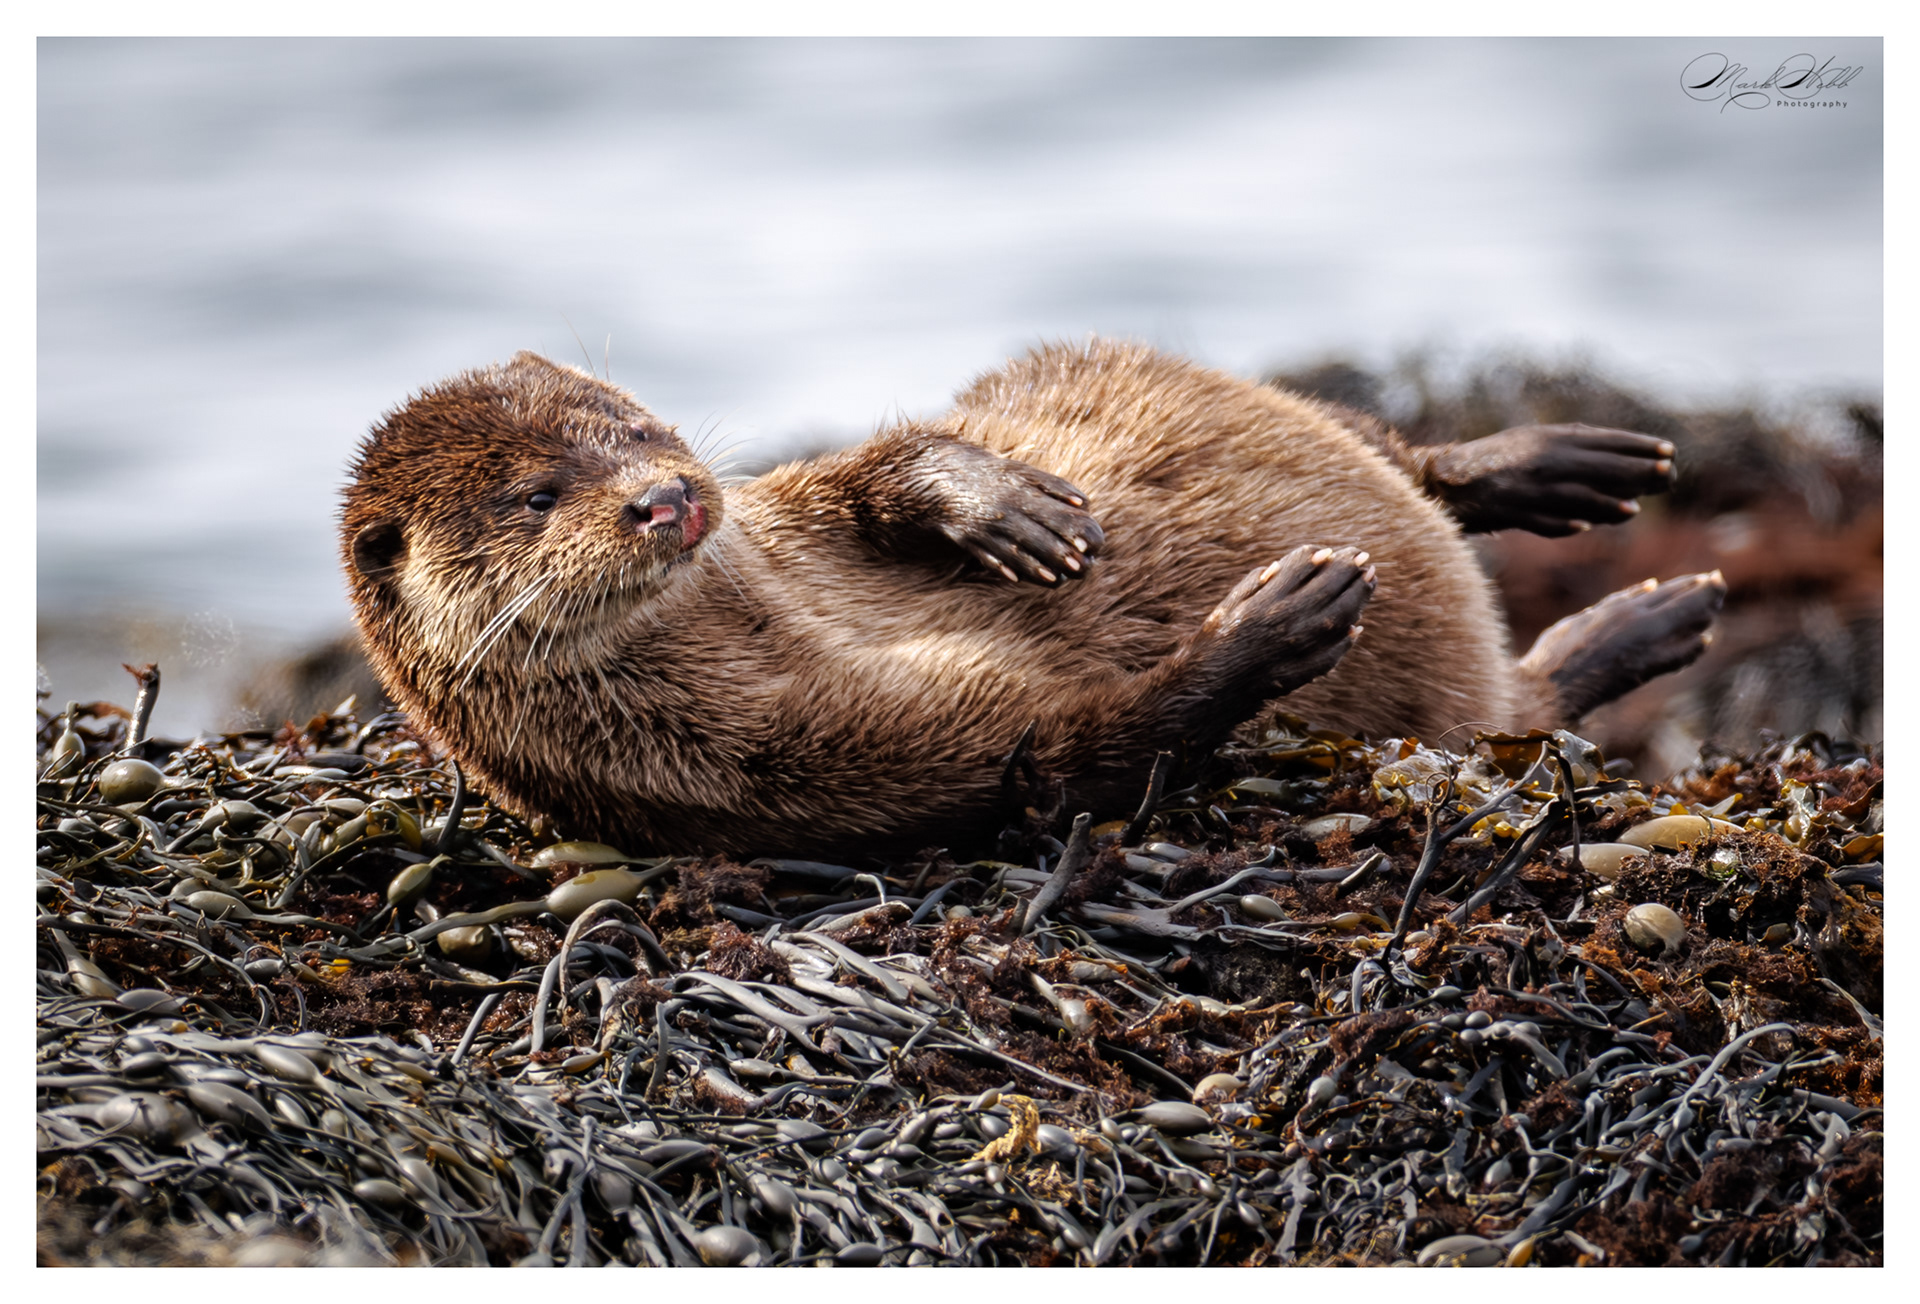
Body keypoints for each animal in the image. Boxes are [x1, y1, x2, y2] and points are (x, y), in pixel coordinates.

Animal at [342, 340, 1723, 858]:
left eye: (633, 424)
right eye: (535, 495)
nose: (667, 496)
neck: (753, 615)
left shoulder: (782, 513)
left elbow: (875, 463)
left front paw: (998, 507)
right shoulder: (761, 764)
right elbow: (1057, 755)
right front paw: (1270, 621)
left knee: (1403, 454)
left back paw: (1560, 469)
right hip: (1477, 703)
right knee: (1534, 701)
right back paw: (1642, 619)